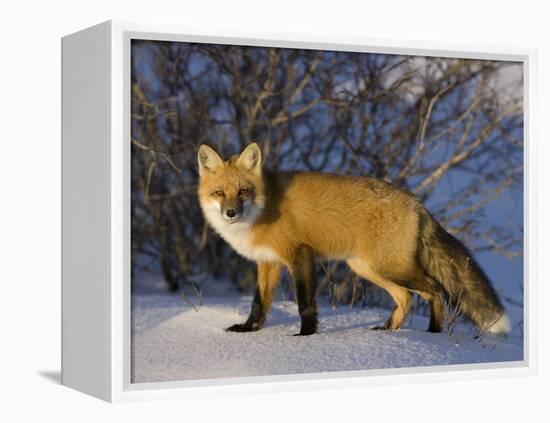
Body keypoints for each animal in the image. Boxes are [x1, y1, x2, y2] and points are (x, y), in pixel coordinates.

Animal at [196, 144, 512, 336]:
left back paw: (433, 333)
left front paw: (305, 336)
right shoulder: (268, 262)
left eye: (244, 191)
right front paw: (248, 330)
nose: (231, 213)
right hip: (369, 268)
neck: (263, 208)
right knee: (406, 297)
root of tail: (417, 203)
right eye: (220, 192)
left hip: (390, 267)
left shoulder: (300, 254)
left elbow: (304, 302)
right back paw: (389, 330)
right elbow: (259, 303)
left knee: (434, 290)